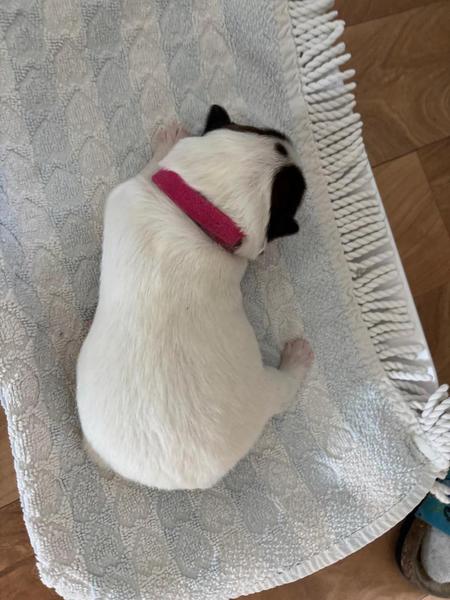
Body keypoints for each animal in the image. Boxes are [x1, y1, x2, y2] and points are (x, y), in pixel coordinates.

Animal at [76, 105, 313, 490]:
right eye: (296, 191)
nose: (292, 144)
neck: (198, 211)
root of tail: (173, 475)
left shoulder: (131, 192)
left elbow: (153, 171)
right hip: (262, 392)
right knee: (284, 392)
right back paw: (296, 358)